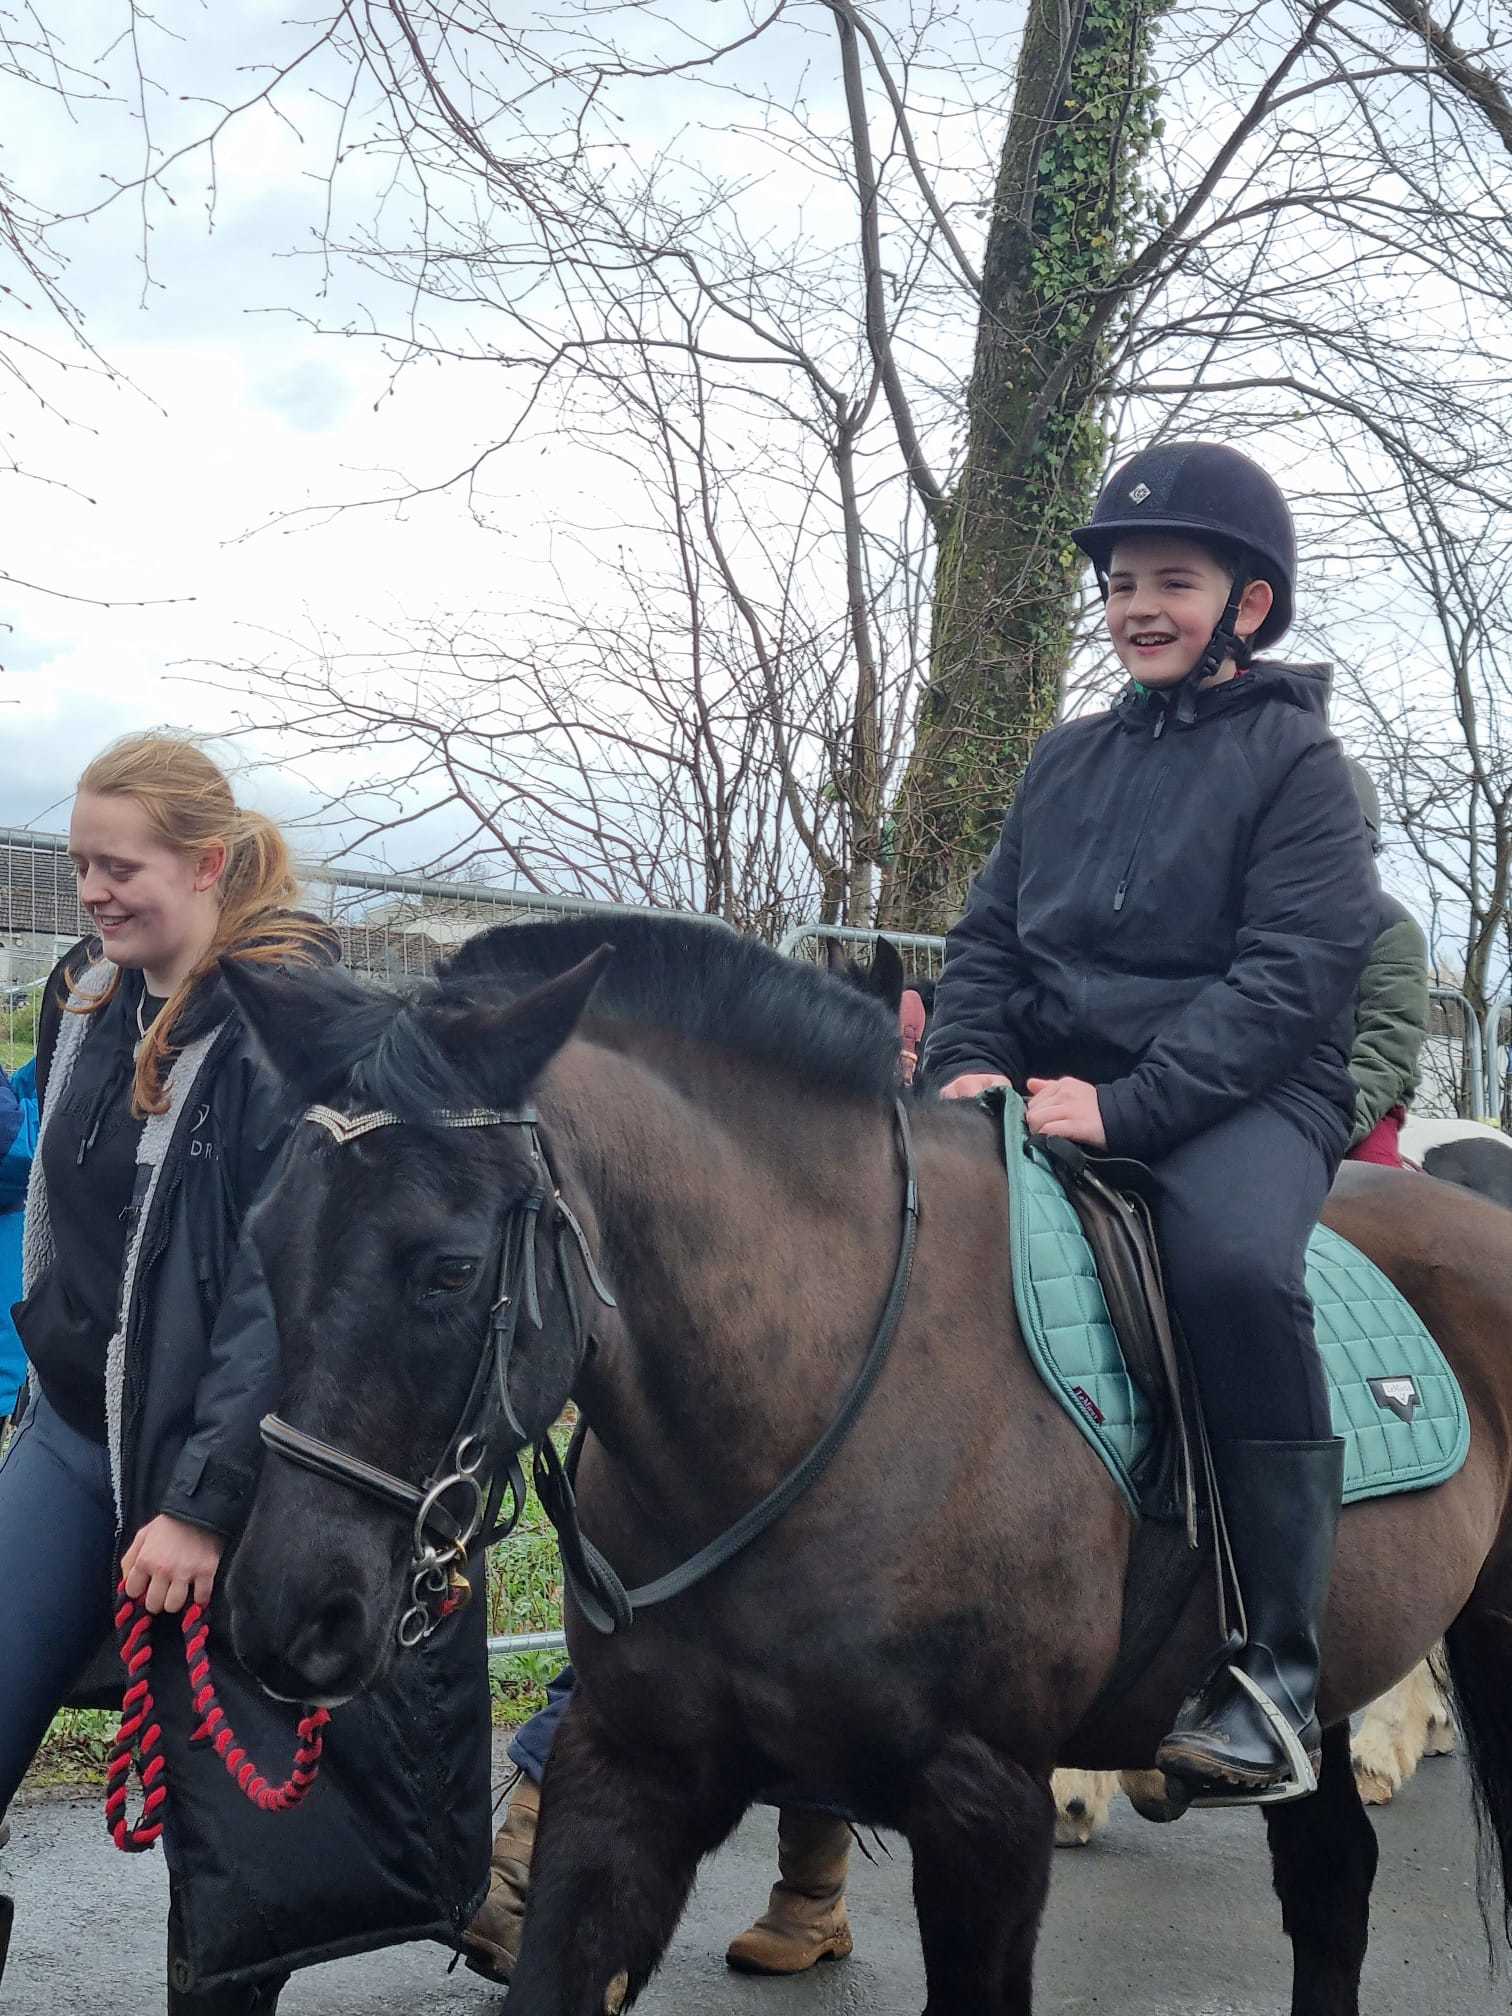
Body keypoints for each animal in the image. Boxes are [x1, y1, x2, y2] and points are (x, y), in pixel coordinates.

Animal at [218, 923, 1512, 2016]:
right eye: (265, 1241)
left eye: (446, 1269)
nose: (289, 1614)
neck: (807, 1395)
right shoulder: (628, 1769)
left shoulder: (983, 1811)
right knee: (1333, 1883)